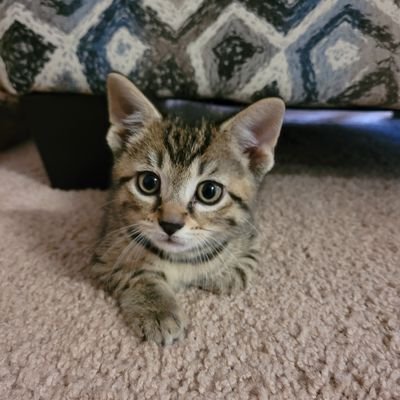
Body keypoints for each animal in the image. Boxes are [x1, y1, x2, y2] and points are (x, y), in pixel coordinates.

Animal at [91, 73, 284, 346]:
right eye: (148, 183)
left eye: (209, 192)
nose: (170, 224)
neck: (181, 259)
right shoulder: (106, 252)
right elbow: (136, 274)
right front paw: (157, 310)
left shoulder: (251, 235)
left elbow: (243, 267)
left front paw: (223, 272)